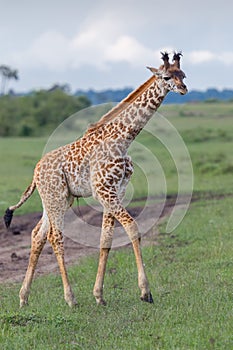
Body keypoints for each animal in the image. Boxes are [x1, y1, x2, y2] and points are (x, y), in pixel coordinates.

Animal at [3, 51, 187, 306]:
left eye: (184, 74)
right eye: (167, 76)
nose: (184, 89)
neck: (122, 140)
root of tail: (36, 171)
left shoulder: (117, 191)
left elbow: (105, 239)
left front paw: (99, 295)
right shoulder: (104, 191)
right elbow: (132, 227)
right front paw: (145, 292)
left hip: (57, 199)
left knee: (37, 234)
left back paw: (24, 298)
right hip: (56, 198)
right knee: (55, 237)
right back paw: (70, 298)